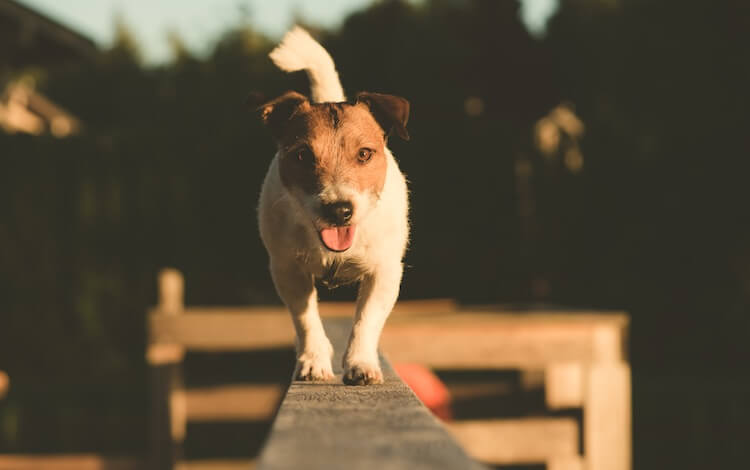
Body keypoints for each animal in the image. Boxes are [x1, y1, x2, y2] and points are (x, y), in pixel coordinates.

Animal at [258, 27, 412, 384]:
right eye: (303, 155)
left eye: (365, 154)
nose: (339, 210)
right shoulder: (287, 270)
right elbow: (306, 319)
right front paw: (314, 360)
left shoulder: (385, 272)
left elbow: (366, 319)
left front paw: (360, 362)